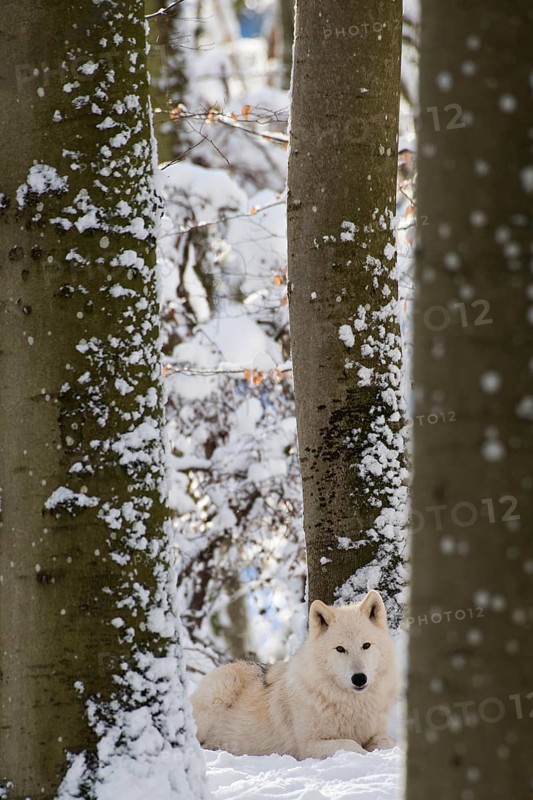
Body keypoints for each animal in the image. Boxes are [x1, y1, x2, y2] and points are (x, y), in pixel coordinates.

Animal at [191, 590, 398, 759]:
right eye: (340, 649)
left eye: (366, 645)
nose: (359, 678)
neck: (351, 704)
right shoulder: (308, 746)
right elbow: (352, 745)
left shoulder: (377, 734)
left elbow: (387, 743)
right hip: (223, 687)